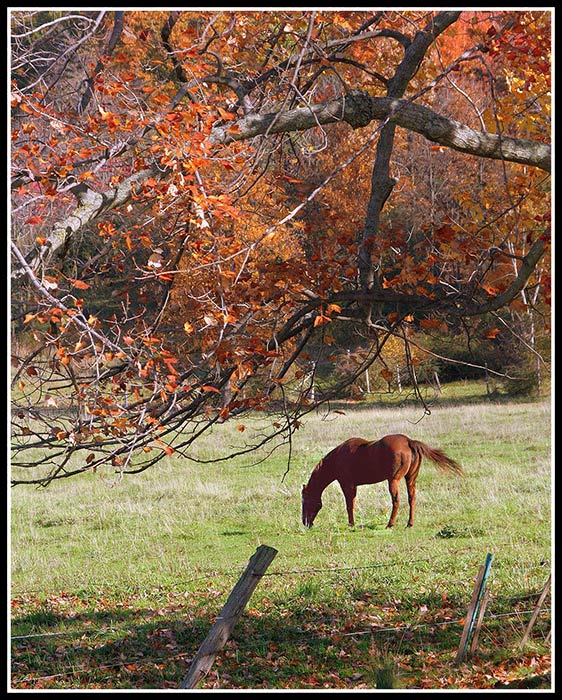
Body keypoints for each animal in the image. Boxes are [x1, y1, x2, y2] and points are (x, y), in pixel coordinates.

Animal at [300, 434, 462, 528]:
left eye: (305, 501)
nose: (306, 523)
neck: (338, 458)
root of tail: (409, 441)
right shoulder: (353, 486)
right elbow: (352, 503)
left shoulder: (347, 484)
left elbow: (349, 505)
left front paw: (351, 524)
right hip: (410, 479)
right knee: (412, 499)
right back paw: (409, 524)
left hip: (393, 481)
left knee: (396, 501)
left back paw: (390, 524)